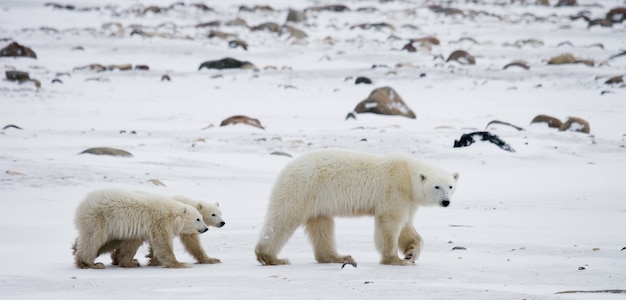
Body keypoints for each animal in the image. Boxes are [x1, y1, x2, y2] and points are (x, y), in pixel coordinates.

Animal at [255, 149, 458, 266]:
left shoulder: (409, 201)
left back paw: (338, 257)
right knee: (283, 218)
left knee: (322, 226)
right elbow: (390, 223)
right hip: (302, 188)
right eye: (436, 186)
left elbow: (406, 227)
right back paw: (271, 257)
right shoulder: (395, 189)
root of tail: (288, 167)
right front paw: (395, 259)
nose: (446, 202)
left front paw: (411, 254)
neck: (409, 174)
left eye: (450, 186)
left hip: (318, 201)